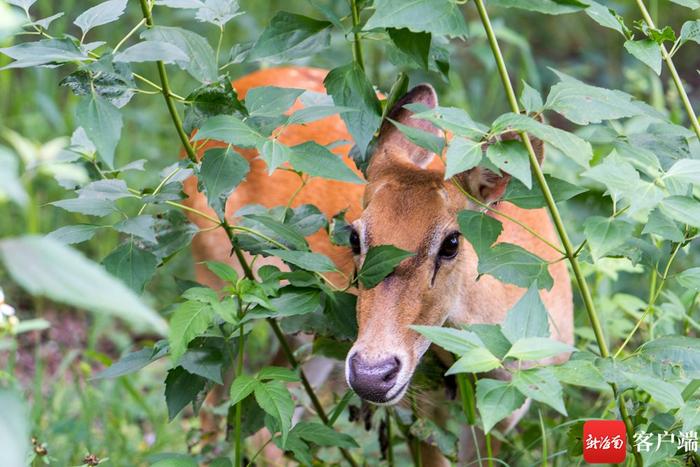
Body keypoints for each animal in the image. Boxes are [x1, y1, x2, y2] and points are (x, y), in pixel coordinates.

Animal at [183, 66, 572, 464]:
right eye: (355, 236)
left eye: (452, 242)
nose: (371, 374)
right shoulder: (423, 410)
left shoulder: (511, 408)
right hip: (219, 284)